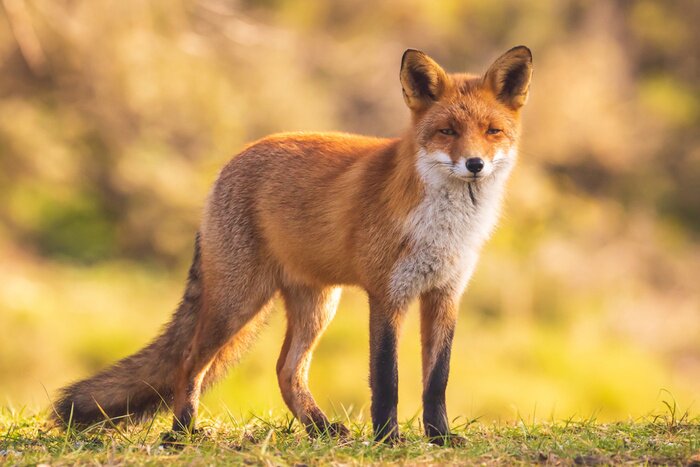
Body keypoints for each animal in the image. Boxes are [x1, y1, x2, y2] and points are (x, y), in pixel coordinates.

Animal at [52, 46, 533, 444]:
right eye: (447, 131)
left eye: (492, 131)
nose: (475, 164)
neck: (445, 228)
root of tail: (232, 161)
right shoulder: (387, 295)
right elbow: (387, 378)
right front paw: (387, 439)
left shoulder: (445, 294)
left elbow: (437, 380)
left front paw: (440, 438)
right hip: (237, 303)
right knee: (188, 362)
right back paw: (182, 433)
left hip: (317, 304)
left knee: (286, 371)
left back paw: (320, 428)